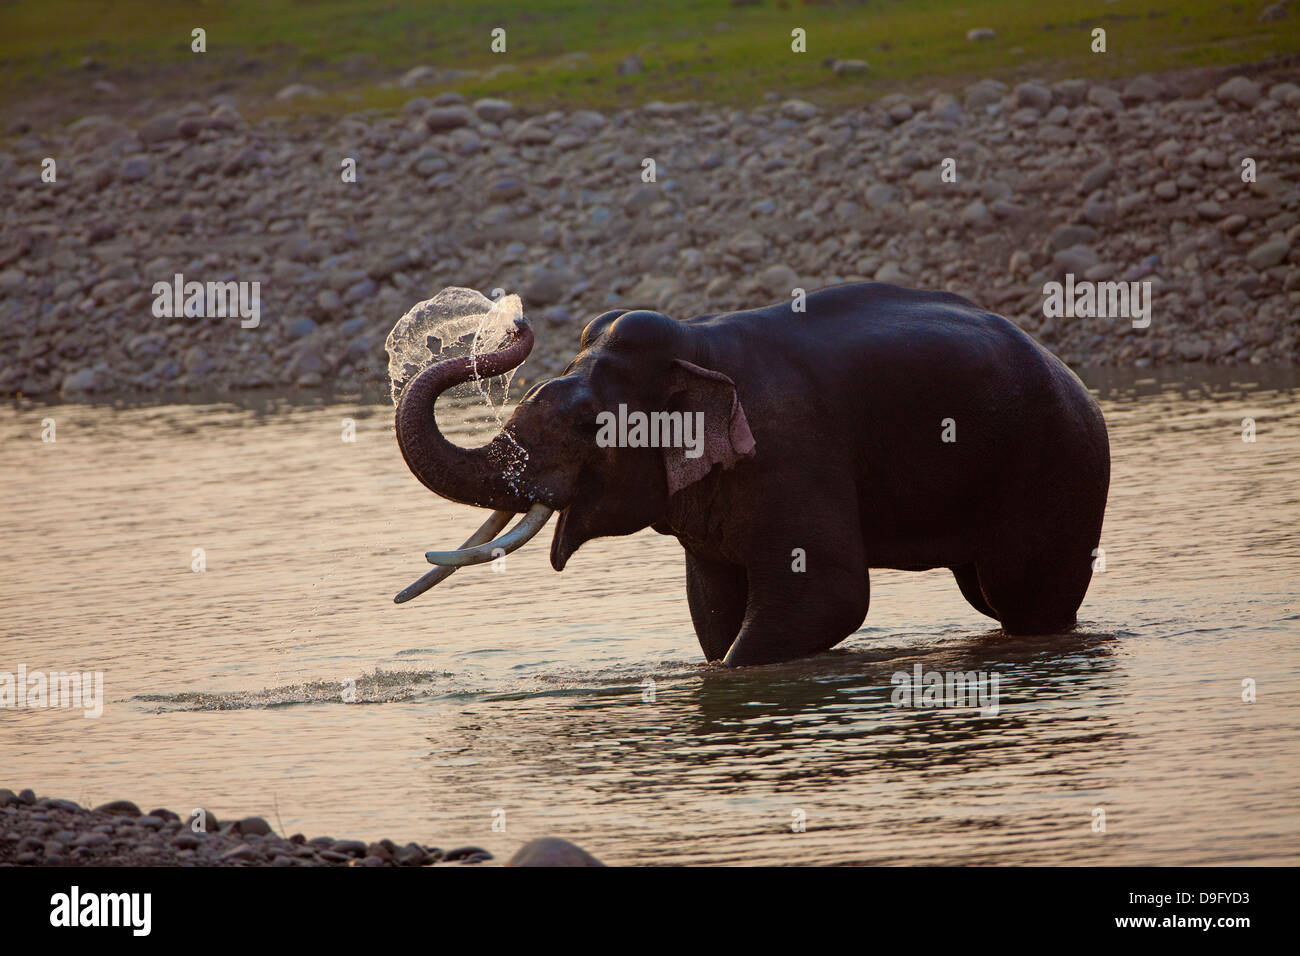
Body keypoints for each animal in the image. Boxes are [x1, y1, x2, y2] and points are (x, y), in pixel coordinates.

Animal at [394, 282, 1110, 667]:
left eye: (585, 425)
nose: (512, 319)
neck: (699, 349)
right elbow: (713, 607)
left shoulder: (791, 454)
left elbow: (829, 596)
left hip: (1060, 469)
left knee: (1025, 594)